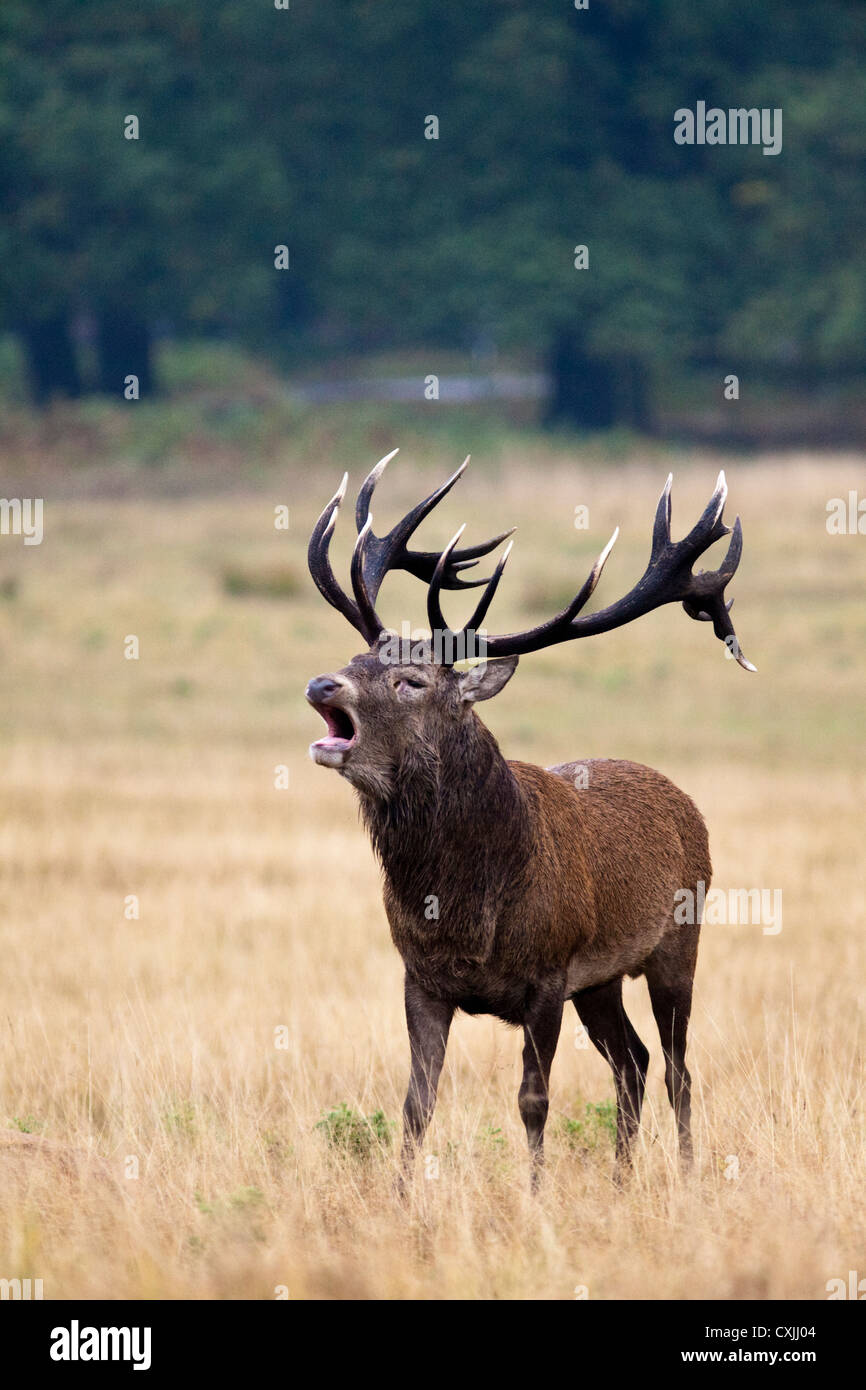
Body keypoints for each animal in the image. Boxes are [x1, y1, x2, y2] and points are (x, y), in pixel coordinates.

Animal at [304, 453, 750, 1184]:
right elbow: (415, 1105)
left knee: (677, 1068)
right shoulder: (420, 979)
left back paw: (686, 1175)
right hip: (599, 982)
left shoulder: (547, 976)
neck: (462, 905)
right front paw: (399, 1196)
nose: (322, 684)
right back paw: (621, 1179)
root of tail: (687, 804)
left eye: (411, 682)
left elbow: (533, 1101)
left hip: (677, 945)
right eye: (355, 660)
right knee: (633, 1062)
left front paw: (535, 1195)